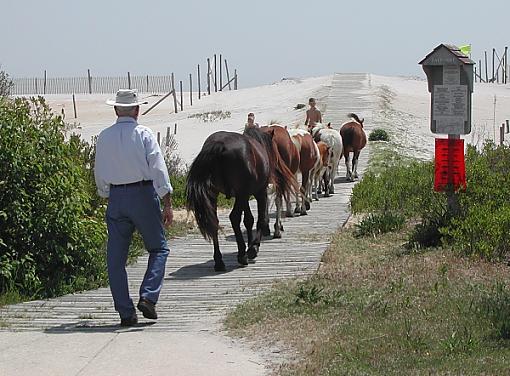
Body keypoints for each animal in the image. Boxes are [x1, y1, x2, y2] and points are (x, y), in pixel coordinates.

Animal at [185, 126, 296, 270]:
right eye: (274, 149)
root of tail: (219, 145)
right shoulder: (259, 193)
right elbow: (261, 219)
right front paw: (253, 247)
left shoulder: (244, 196)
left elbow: (249, 220)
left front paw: (250, 243)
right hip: (242, 194)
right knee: (234, 217)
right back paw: (242, 254)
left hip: (215, 194)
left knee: (214, 221)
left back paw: (219, 261)